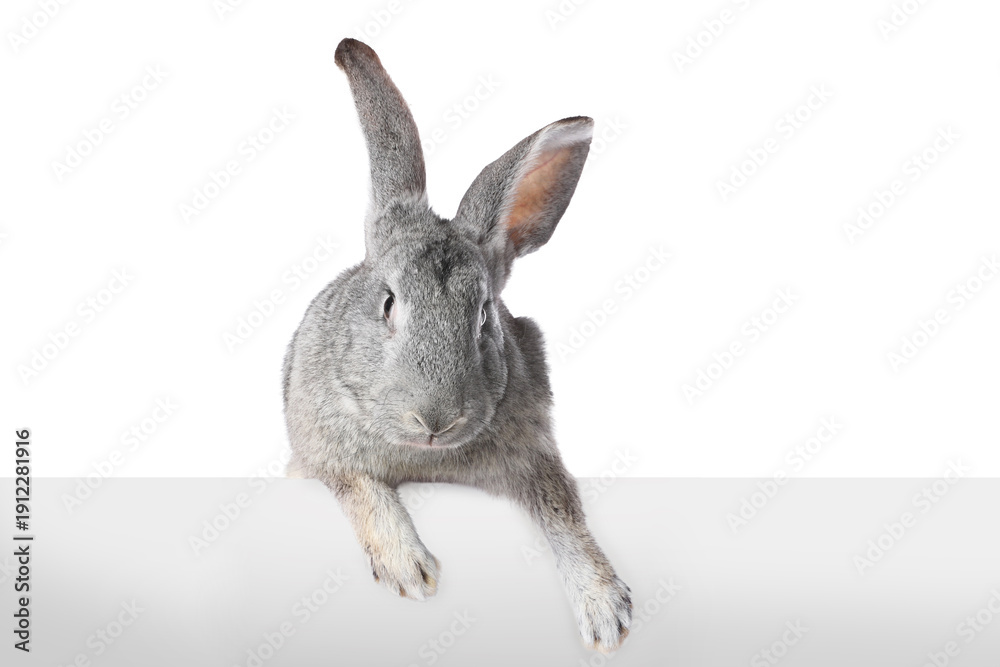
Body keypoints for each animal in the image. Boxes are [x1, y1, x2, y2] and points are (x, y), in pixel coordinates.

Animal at [282, 37, 631, 653]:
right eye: (388, 303)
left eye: (484, 316)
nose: (434, 419)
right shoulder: (321, 453)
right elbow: (362, 488)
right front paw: (409, 570)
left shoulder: (536, 457)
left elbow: (564, 513)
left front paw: (606, 611)